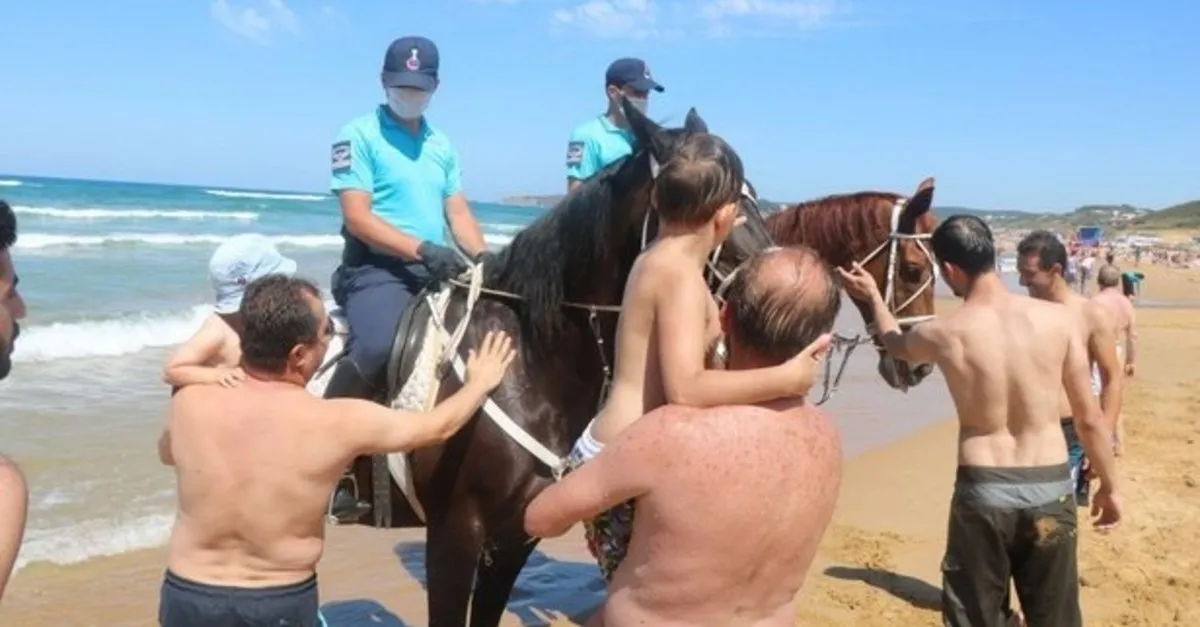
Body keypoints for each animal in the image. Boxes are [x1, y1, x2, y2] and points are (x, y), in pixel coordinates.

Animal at [312, 100, 777, 619]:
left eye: (753, 195)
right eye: (718, 205)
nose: (775, 279)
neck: (524, 362)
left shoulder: (516, 535)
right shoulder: (454, 533)